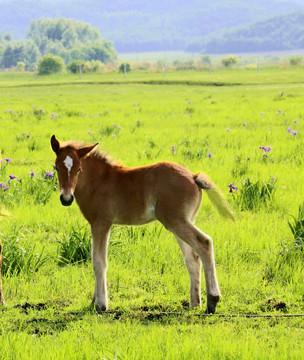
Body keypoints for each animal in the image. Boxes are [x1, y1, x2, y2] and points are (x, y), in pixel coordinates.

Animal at [51, 136, 234, 314]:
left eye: (78, 170)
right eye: (57, 168)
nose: (66, 198)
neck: (98, 182)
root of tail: (194, 176)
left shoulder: (101, 224)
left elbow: (99, 262)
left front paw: (101, 305)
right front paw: (93, 301)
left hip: (176, 221)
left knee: (205, 243)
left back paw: (212, 301)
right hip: (182, 222)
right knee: (192, 259)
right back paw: (194, 304)